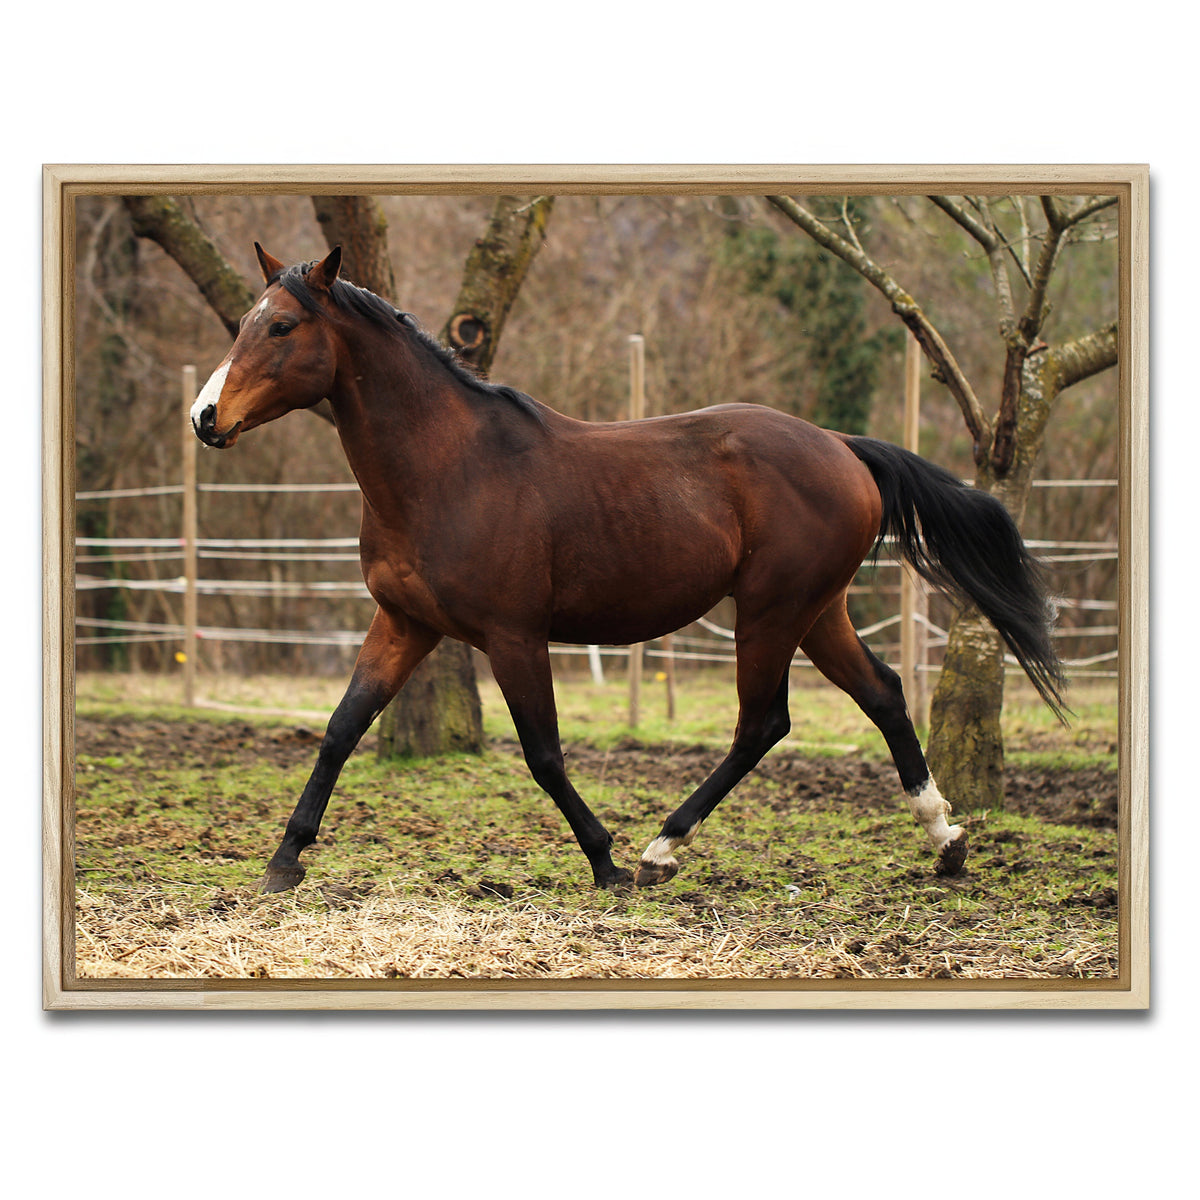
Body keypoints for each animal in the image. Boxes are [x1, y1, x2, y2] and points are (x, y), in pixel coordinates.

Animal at [191, 243, 1066, 894]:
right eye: (247, 322)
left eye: (281, 325)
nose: (204, 418)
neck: (448, 468)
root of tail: (842, 447)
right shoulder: (403, 623)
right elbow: (341, 728)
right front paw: (284, 861)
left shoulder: (514, 636)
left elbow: (543, 753)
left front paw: (604, 859)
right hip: (818, 610)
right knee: (880, 694)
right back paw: (946, 840)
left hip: (772, 611)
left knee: (763, 723)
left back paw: (659, 851)